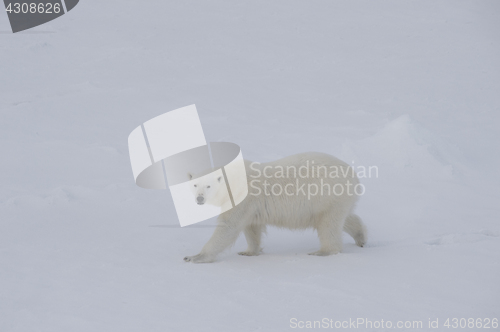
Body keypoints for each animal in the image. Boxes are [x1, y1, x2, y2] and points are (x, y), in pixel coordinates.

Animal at [184, 152, 368, 264]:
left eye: (208, 186)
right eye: (195, 184)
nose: (199, 198)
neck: (233, 180)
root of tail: (354, 176)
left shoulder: (243, 198)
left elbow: (228, 227)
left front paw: (194, 257)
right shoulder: (252, 206)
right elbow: (252, 228)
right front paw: (249, 252)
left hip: (328, 195)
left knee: (328, 225)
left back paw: (322, 252)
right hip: (335, 200)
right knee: (344, 218)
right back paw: (361, 238)